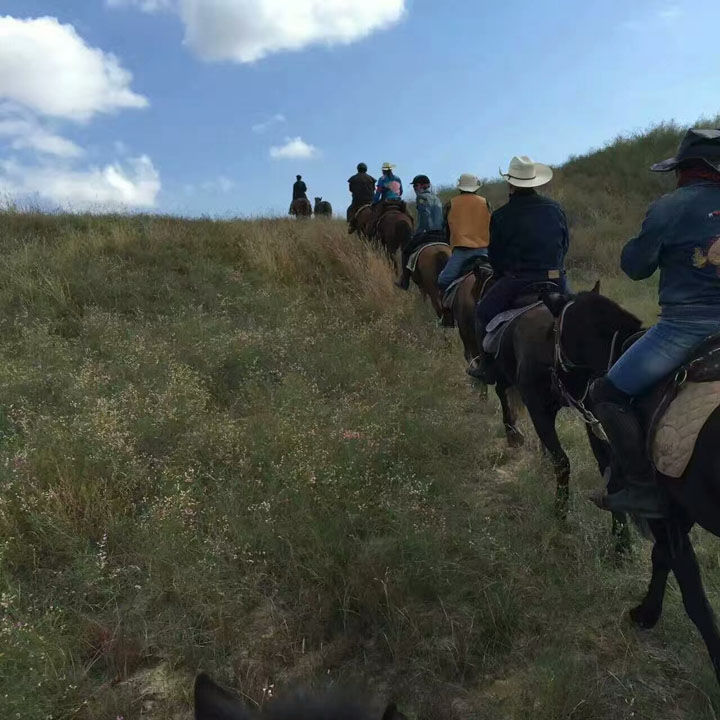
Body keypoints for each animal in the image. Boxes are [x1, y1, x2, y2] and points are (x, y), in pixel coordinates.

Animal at [544, 290, 720, 684]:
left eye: (553, 334)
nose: (555, 383)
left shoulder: (667, 513)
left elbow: (695, 600)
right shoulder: (677, 513)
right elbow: (661, 558)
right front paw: (646, 614)